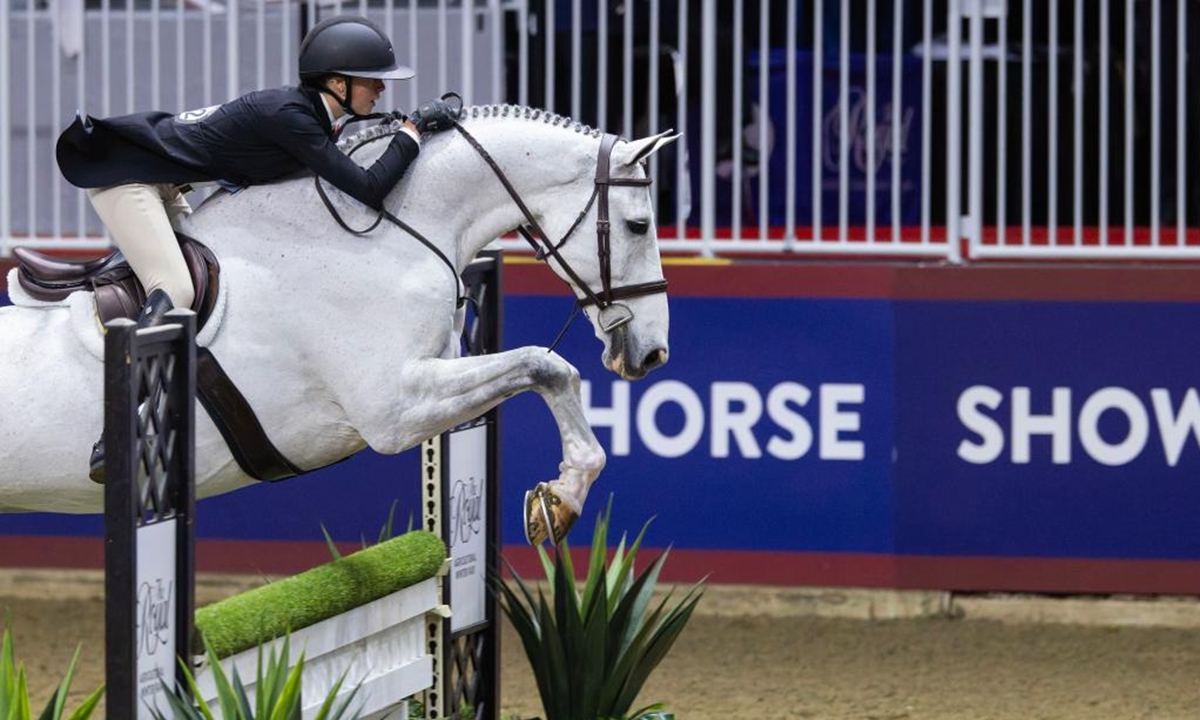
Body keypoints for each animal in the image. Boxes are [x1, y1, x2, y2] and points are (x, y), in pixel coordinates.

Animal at [0, 106, 678, 545]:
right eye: (640, 225)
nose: (651, 355)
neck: (383, 231)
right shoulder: (393, 410)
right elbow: (547, 364)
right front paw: (564, 497)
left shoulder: (434, 370)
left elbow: (542, 370)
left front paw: (557, 500)